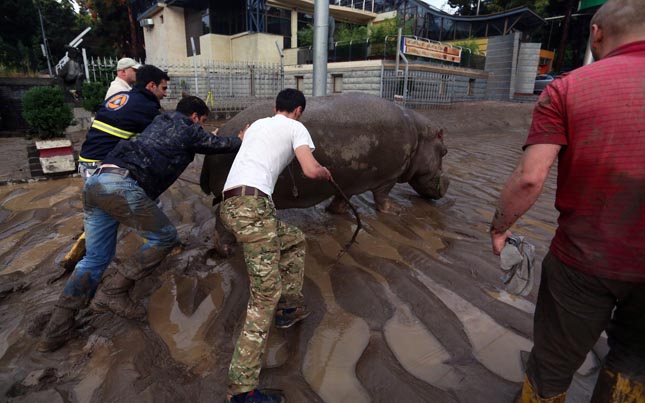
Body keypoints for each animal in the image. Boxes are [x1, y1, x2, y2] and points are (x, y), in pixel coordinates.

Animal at [200, 92, 448, 252]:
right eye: (444, 151)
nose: (447, 184)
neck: (420, 136)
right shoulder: (389, 177)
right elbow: (383, 198)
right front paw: (397, 211)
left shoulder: (349, 180)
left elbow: (342, 198)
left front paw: (337, 212)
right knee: (221, 220)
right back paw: (227, 250)